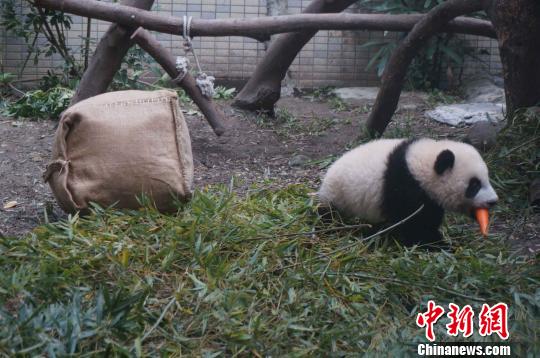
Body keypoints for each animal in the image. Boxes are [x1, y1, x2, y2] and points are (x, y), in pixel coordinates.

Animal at [318, 138, 500, 246]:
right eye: (474, 185)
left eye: (487, 178)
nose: (493, 201)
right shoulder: (404, 187)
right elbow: (415, 224)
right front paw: (439, 244)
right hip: (339, 197)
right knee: (329, 214)